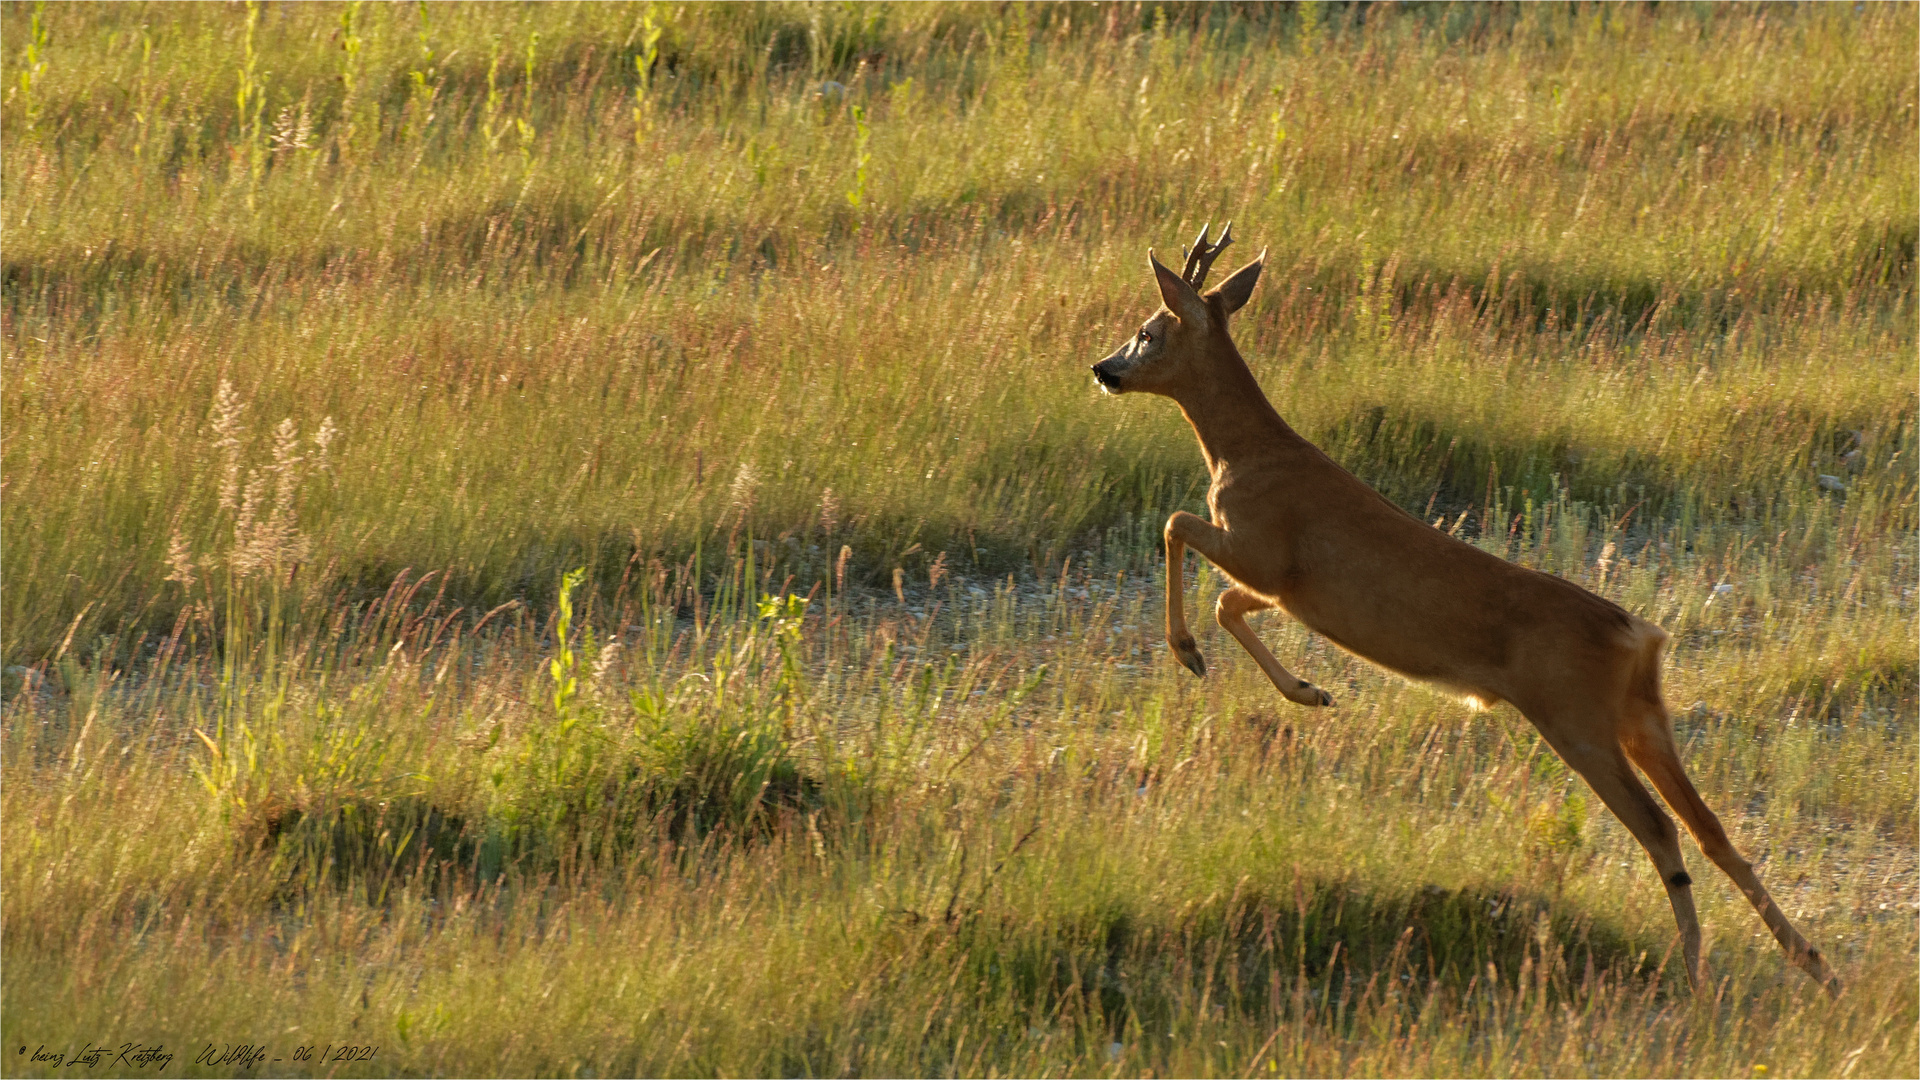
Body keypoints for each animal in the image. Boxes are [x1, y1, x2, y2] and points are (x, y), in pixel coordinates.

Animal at [1090, 220, 1835, 991]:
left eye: (1148, 330)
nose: (1102, 368)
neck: (1242, 455)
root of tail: (1640, 634)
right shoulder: (1289, 590)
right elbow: (1227, 604)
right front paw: (1309, 690)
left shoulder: (1264, 550)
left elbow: (1178, 529)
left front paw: (1190, 655)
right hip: (1640, 715)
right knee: (1711, 827)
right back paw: (1814, 964)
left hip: (1577, 720)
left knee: (1661, 828)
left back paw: (1696, 969)